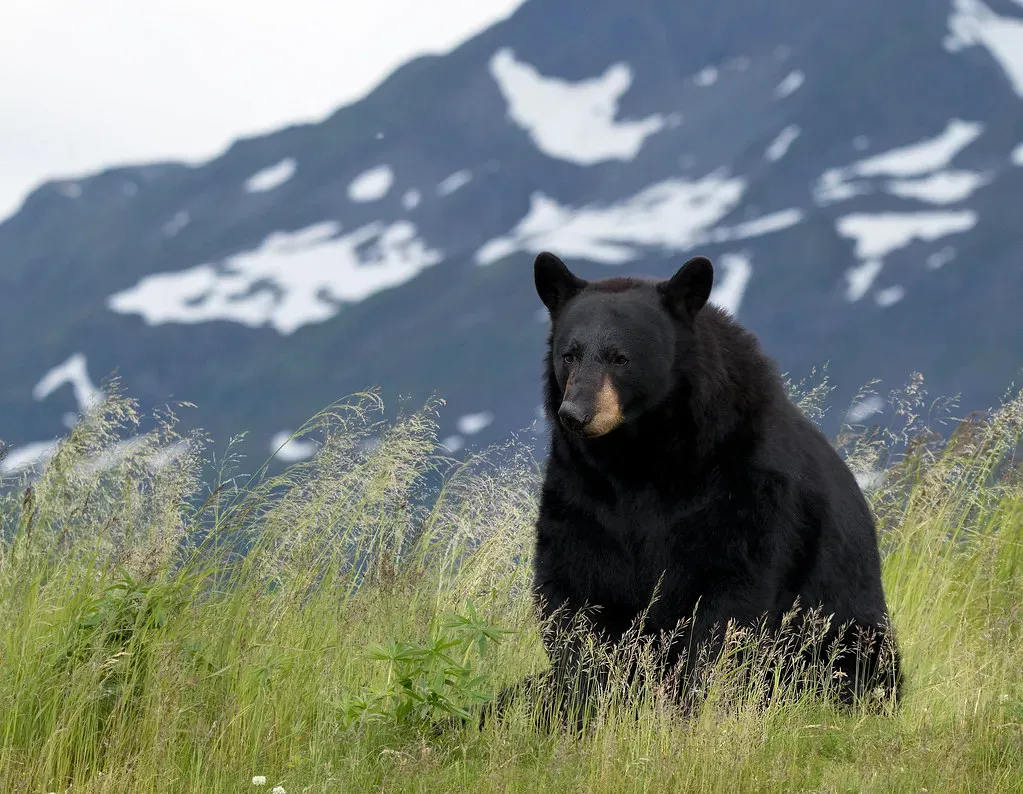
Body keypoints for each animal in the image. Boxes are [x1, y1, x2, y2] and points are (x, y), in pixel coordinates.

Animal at [505, 250, 902, 728]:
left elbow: (728, 602)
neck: (639, 457)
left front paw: (692, 710)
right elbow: (574, 590)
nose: (576, 414)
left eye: (621, 358)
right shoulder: (582, 491)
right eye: (569, 355)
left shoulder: (743, 484)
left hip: (852, 632)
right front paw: (582, 704)